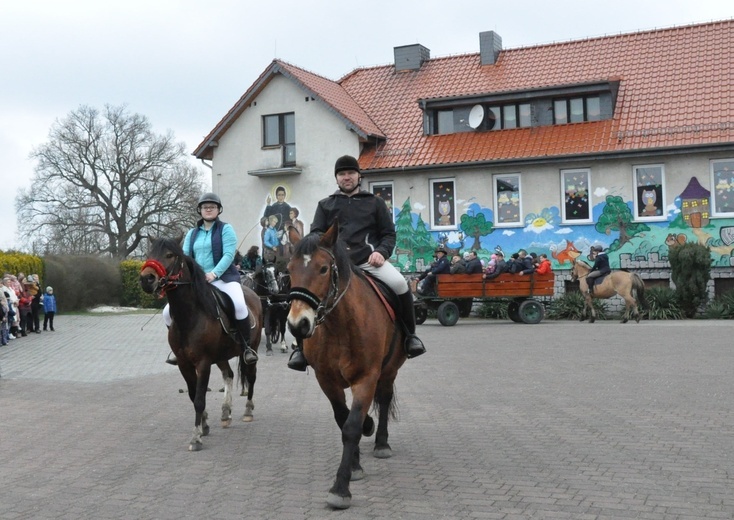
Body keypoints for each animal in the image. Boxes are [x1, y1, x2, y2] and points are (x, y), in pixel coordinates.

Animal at [139, 239, 264, 450]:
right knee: (229, 375)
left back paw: (248, 411)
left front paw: (196, 437)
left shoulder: (203, 363)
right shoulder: (184, 363)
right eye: (150, 253)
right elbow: (192, 394)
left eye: (170, 255)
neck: (189, 315)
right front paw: (204, 425)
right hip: (221, 356)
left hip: (251, 350)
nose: (146, 279)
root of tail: (252, 293)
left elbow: (199, 398)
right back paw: (225, 412)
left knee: (251, 377)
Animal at [288, 222, 412, 508]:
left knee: (385, 398)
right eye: (289, 268)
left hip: (389, 370)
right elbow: (343, 418)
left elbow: (352, 426)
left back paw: (381, 443)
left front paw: (340, 488)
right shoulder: (326, 380)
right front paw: (354, 464)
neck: (340, 326)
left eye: (323, 268)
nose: (298, 324)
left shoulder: (366, 378)